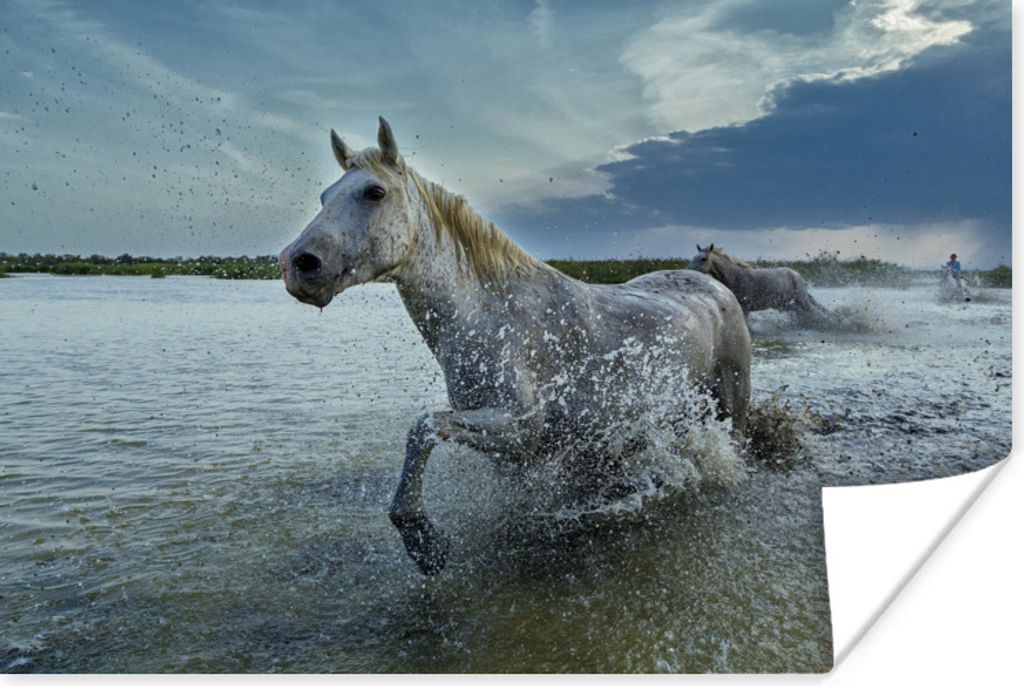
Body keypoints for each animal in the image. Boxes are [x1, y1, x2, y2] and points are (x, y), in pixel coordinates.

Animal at [280, 118, 752, 575]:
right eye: (324, 195)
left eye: (375, 192)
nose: (297, 264)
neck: (491, 317)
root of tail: (714, 287)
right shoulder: (511, 453)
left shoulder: (520, 428)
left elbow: (423, 428)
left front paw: (423, 542)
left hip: (732, 406)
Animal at [688, 244, 832, 326]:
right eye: (693, 257)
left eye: (703, 259)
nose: (689, 271)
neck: (735, 277)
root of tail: (797, 275)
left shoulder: (745, 309)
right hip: (785, 305)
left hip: (801, 301)